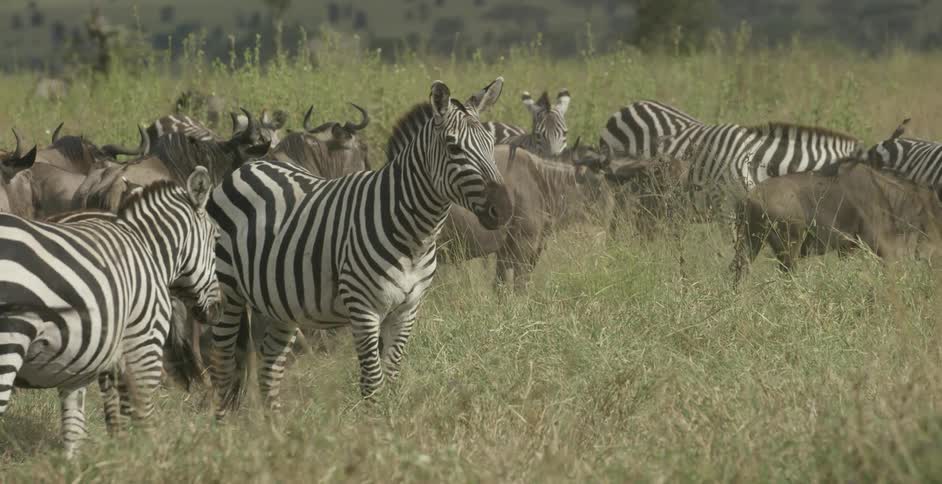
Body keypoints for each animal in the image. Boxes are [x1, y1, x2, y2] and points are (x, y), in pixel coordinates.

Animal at [0, 167, 220, 456]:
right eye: (216, 240)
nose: (216, 310)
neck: (150, 252)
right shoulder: (145, 347)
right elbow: (143, 414)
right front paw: (146, 457)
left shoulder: (89, 358)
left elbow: (87, 421)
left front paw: (110, 454)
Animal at [207, 77, 511, 416]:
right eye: (453, 146)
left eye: (491, 143)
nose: (504, 209)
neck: (414, 235)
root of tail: (248, 166)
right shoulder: (364, 309)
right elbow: (373, 381)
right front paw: (374, 425)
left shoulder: (407, 309)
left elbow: (391, 375)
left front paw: (390, 421)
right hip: (228, 294)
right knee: (224, 359)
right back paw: (222, 420)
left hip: (275, 301)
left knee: (269, 363)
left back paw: (275, 423)